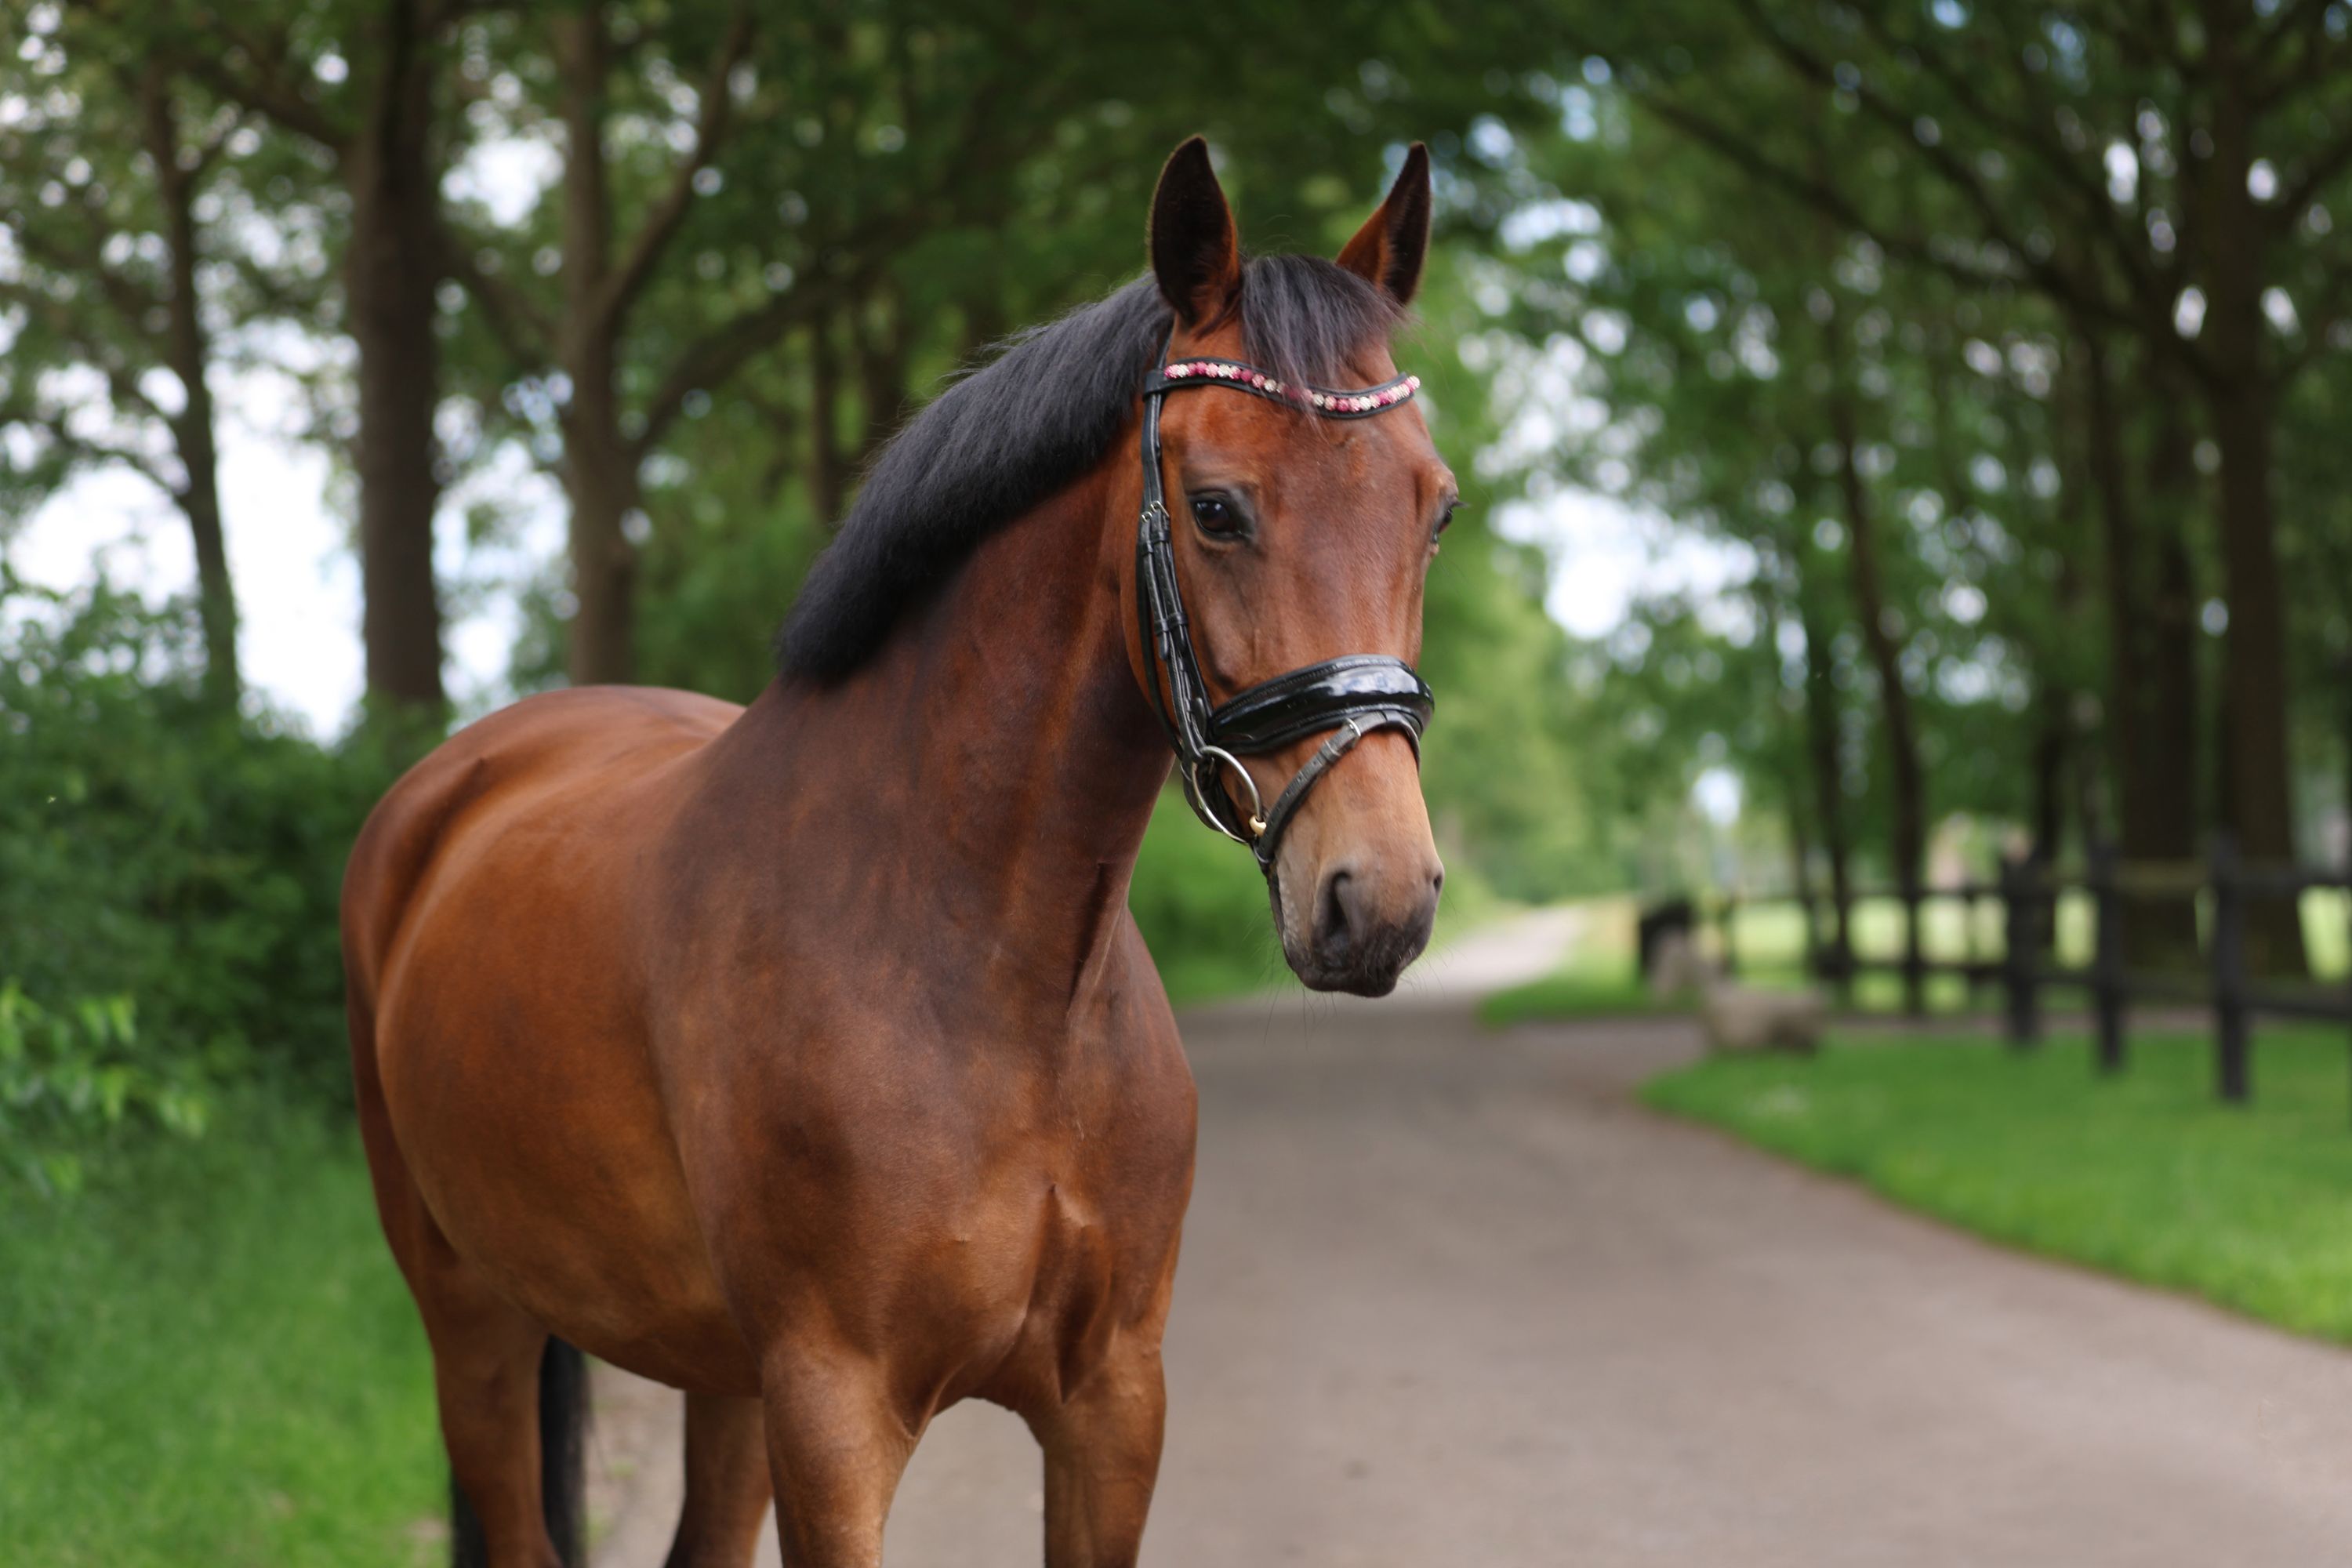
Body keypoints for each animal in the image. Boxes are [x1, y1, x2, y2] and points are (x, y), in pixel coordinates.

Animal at [340, 135, 1456, 1568]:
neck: (992, 979)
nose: (1378, 898)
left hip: (717, 1374)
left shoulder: (1112, 1407)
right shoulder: (838, 1417)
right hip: (474, 1320)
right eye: (1216, 509)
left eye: (1434, 509)